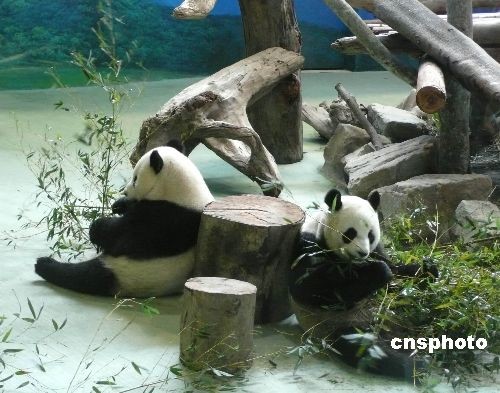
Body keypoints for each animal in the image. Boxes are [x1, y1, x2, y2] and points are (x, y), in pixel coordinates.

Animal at [34, 145, 215, 298]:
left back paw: (44, 264)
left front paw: (97, 227)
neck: (184, 193)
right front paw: (119, 205)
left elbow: (121, 237)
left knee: (82, 276)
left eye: (135, 179)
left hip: (125, 271)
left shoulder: (165, 220)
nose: (125, 192)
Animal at [292, 189, 436, 380]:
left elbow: (396, 269)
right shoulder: (308, 245)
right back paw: (416, 365)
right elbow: (310, 289)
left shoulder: (376, 251)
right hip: (340, 324)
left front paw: (428, 269)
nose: (362, 253)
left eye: (371, 235)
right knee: (364, 348)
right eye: (350, 233)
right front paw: (378, 271)